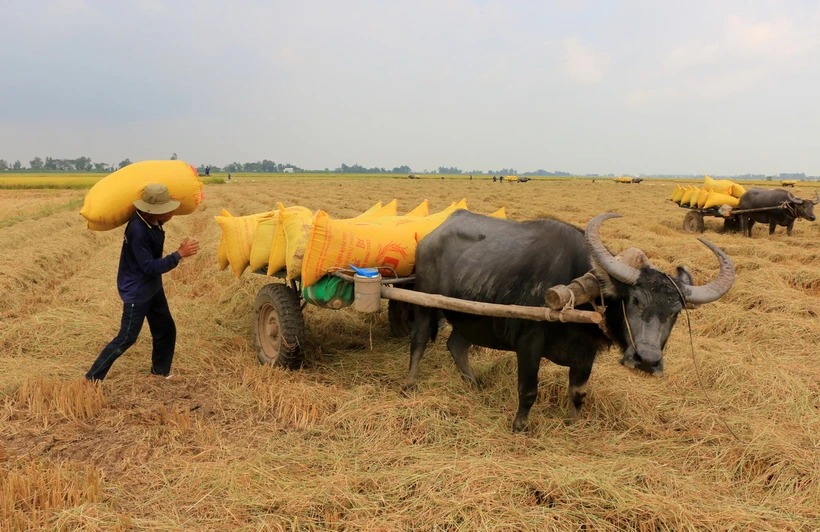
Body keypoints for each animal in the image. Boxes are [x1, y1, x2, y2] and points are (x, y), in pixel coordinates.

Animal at [406, 210, 732, 430]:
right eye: (636, 300)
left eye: (675, 311)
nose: (647, 360)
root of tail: (431, 237)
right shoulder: (529, 346)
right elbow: (528, 390)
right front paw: (520, 427)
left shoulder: (585, 355)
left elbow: (578, 393)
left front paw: (574, 423)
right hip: (424, 303)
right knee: (419, 341)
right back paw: (409, 385)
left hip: (471, 316)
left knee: (456, 344)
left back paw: (473, 384)